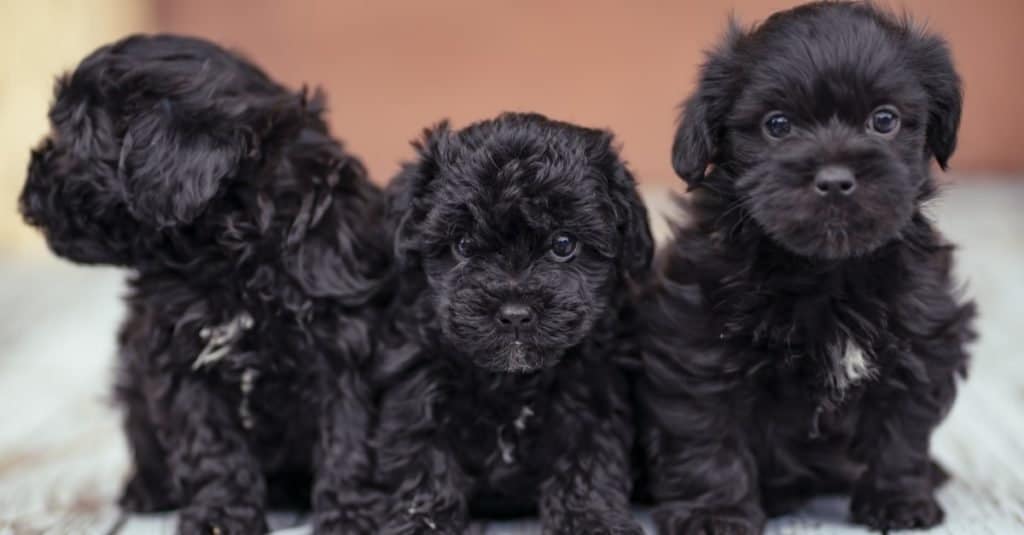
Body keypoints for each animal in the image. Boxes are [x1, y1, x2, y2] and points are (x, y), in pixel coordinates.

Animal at [23, 35, 395, 528]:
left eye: (73, 140)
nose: (26, 196)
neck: (230, 256)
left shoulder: (345, 346)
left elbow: (349, 434)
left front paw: (352, 514)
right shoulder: (179, 359)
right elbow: (210, 447)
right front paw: (219, 516)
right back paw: (146, 491)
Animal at [368, 112, 651, 532]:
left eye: (564, 244)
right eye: (464, 245)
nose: (515, 314)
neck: (511, 381)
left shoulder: (593, 391)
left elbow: (586, 462)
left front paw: (590, 521)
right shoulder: (418, 382)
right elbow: (424, 460)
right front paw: (422, 523)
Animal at [638, 4, 974, 532]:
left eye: (884, 120)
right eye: (777, 125)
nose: (835, 180)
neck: (825, 270)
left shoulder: (922, 336)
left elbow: (901, 428)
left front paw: (898, 499)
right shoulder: (696, 345)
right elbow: (707, 434)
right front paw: (716, 512)